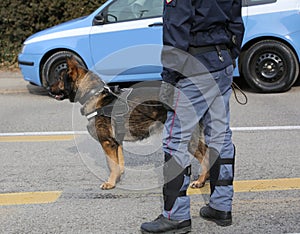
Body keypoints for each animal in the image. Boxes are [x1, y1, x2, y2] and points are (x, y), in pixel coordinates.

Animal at [48, 56, 209, 190]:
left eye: (59, 78)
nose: (48, 88)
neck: (93, 94)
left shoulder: (107, 143)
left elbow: (111, 165)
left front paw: (110, 183)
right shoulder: (117, 142)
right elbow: (119, 164)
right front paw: (117, 179)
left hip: (187, 139)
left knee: (205, 155)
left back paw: (200, 181)